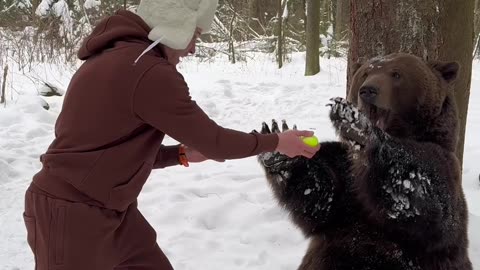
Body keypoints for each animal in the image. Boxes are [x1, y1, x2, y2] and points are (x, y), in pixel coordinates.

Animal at [258, 53, 472, 270]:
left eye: (396, 74)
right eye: (366, 73)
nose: (368, 90)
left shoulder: (444, 165)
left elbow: (429, 204)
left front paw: (356, 124)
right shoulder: (344, 172)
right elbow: (318, 200)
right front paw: (282, 150)